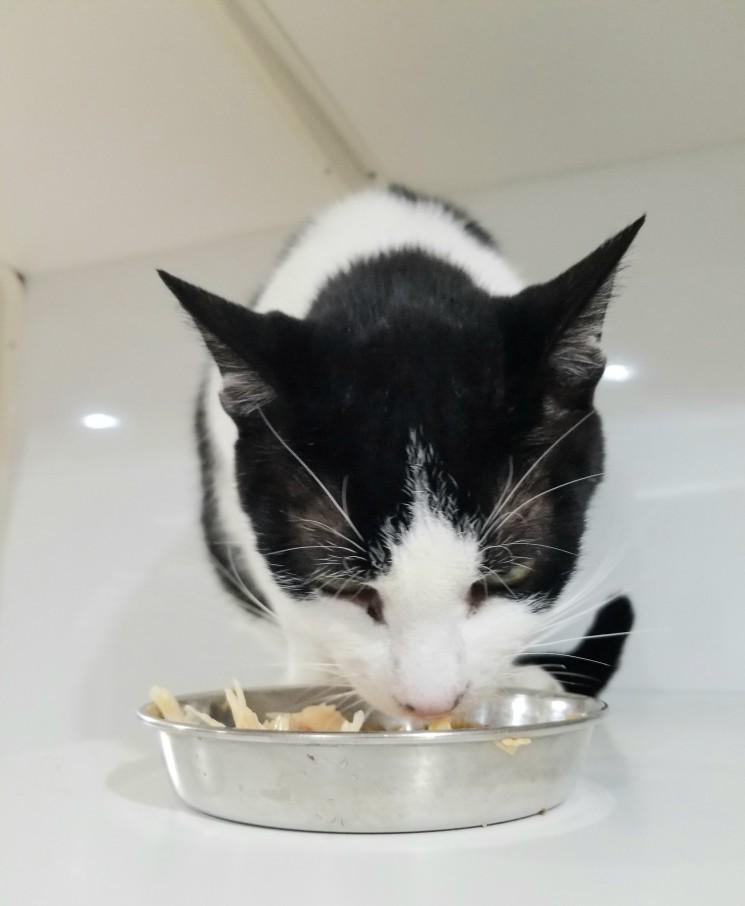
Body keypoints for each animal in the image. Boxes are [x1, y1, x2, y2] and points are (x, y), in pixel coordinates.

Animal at [159, 185, 641, 719]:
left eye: (511, 573)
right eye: (341, 585)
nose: (432, 705)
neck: (394, 280)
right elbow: (289, 605)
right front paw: (311, 680)